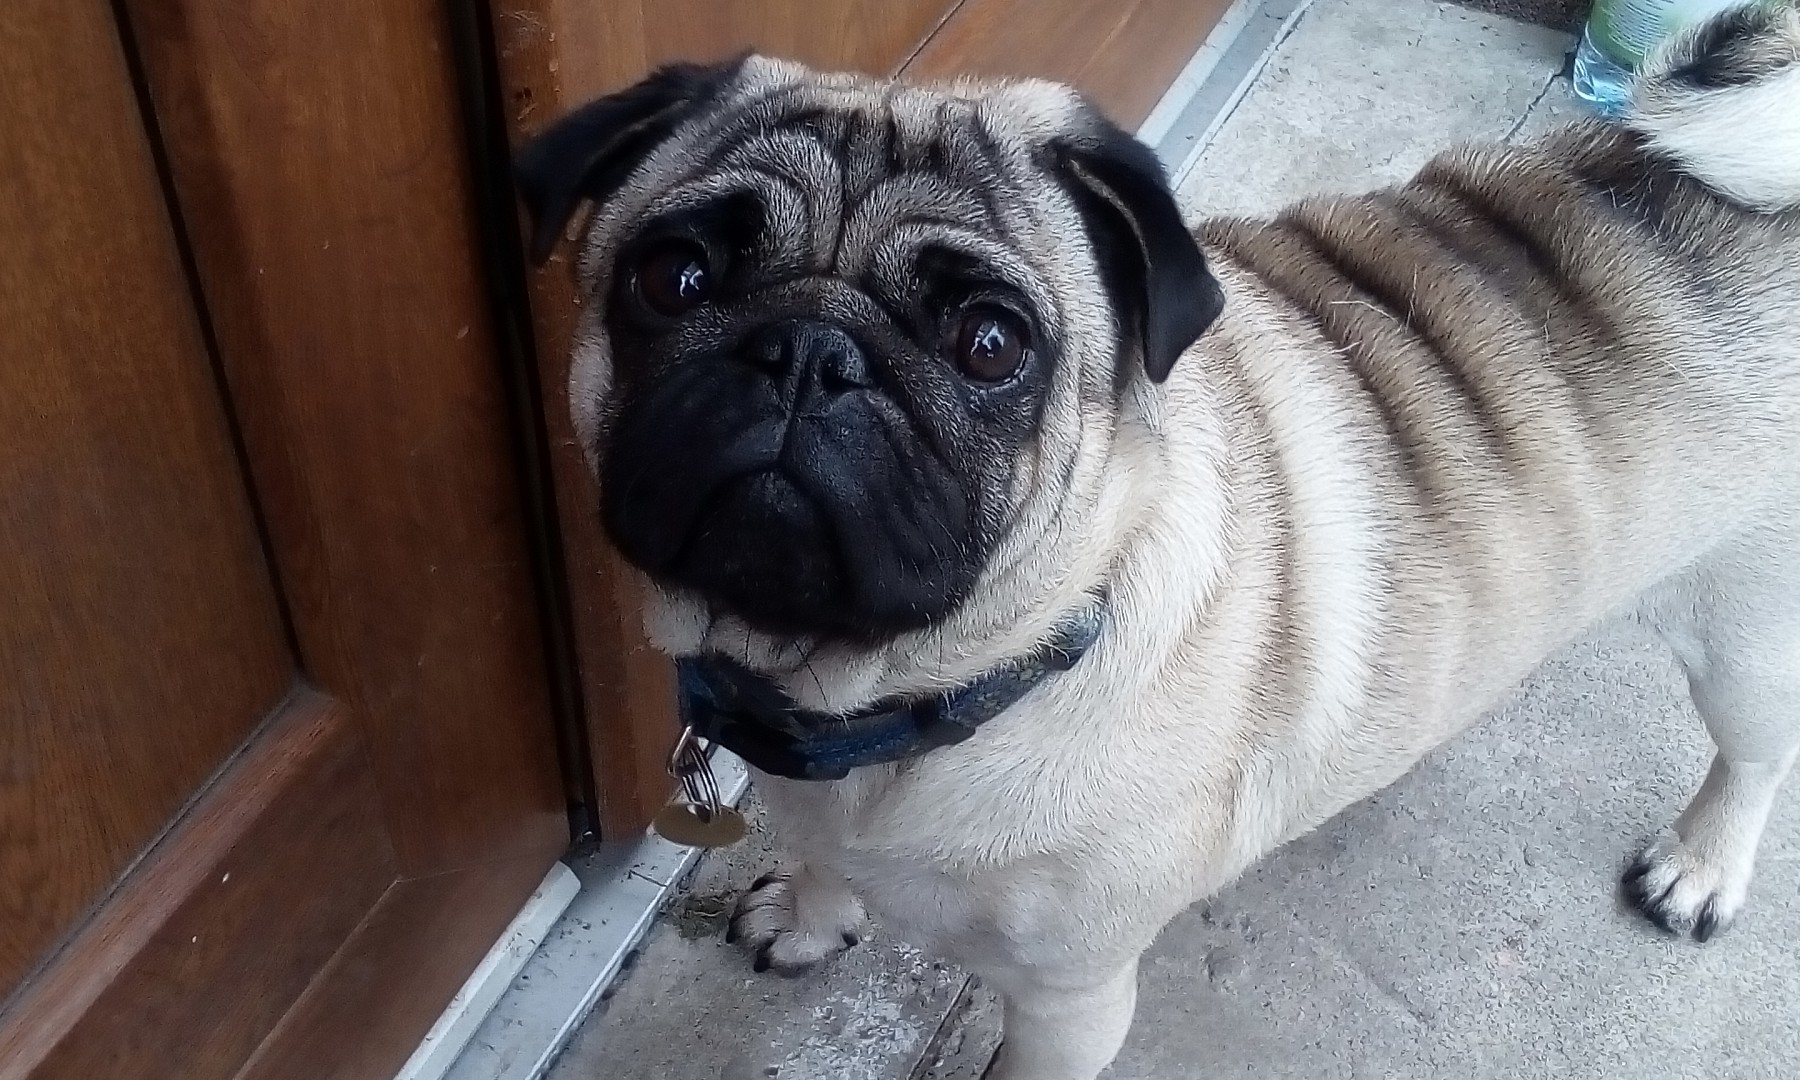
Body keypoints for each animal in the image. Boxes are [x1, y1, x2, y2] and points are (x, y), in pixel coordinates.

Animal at [516, 5, 1800, 1076]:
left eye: (991, 345)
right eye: (673, 277)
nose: (808, 353)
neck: (889, 700)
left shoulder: (1070, 1003)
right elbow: (823, 858)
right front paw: (813, 908)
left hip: (1750, 641)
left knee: (1753, 755)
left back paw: (1701, 866)